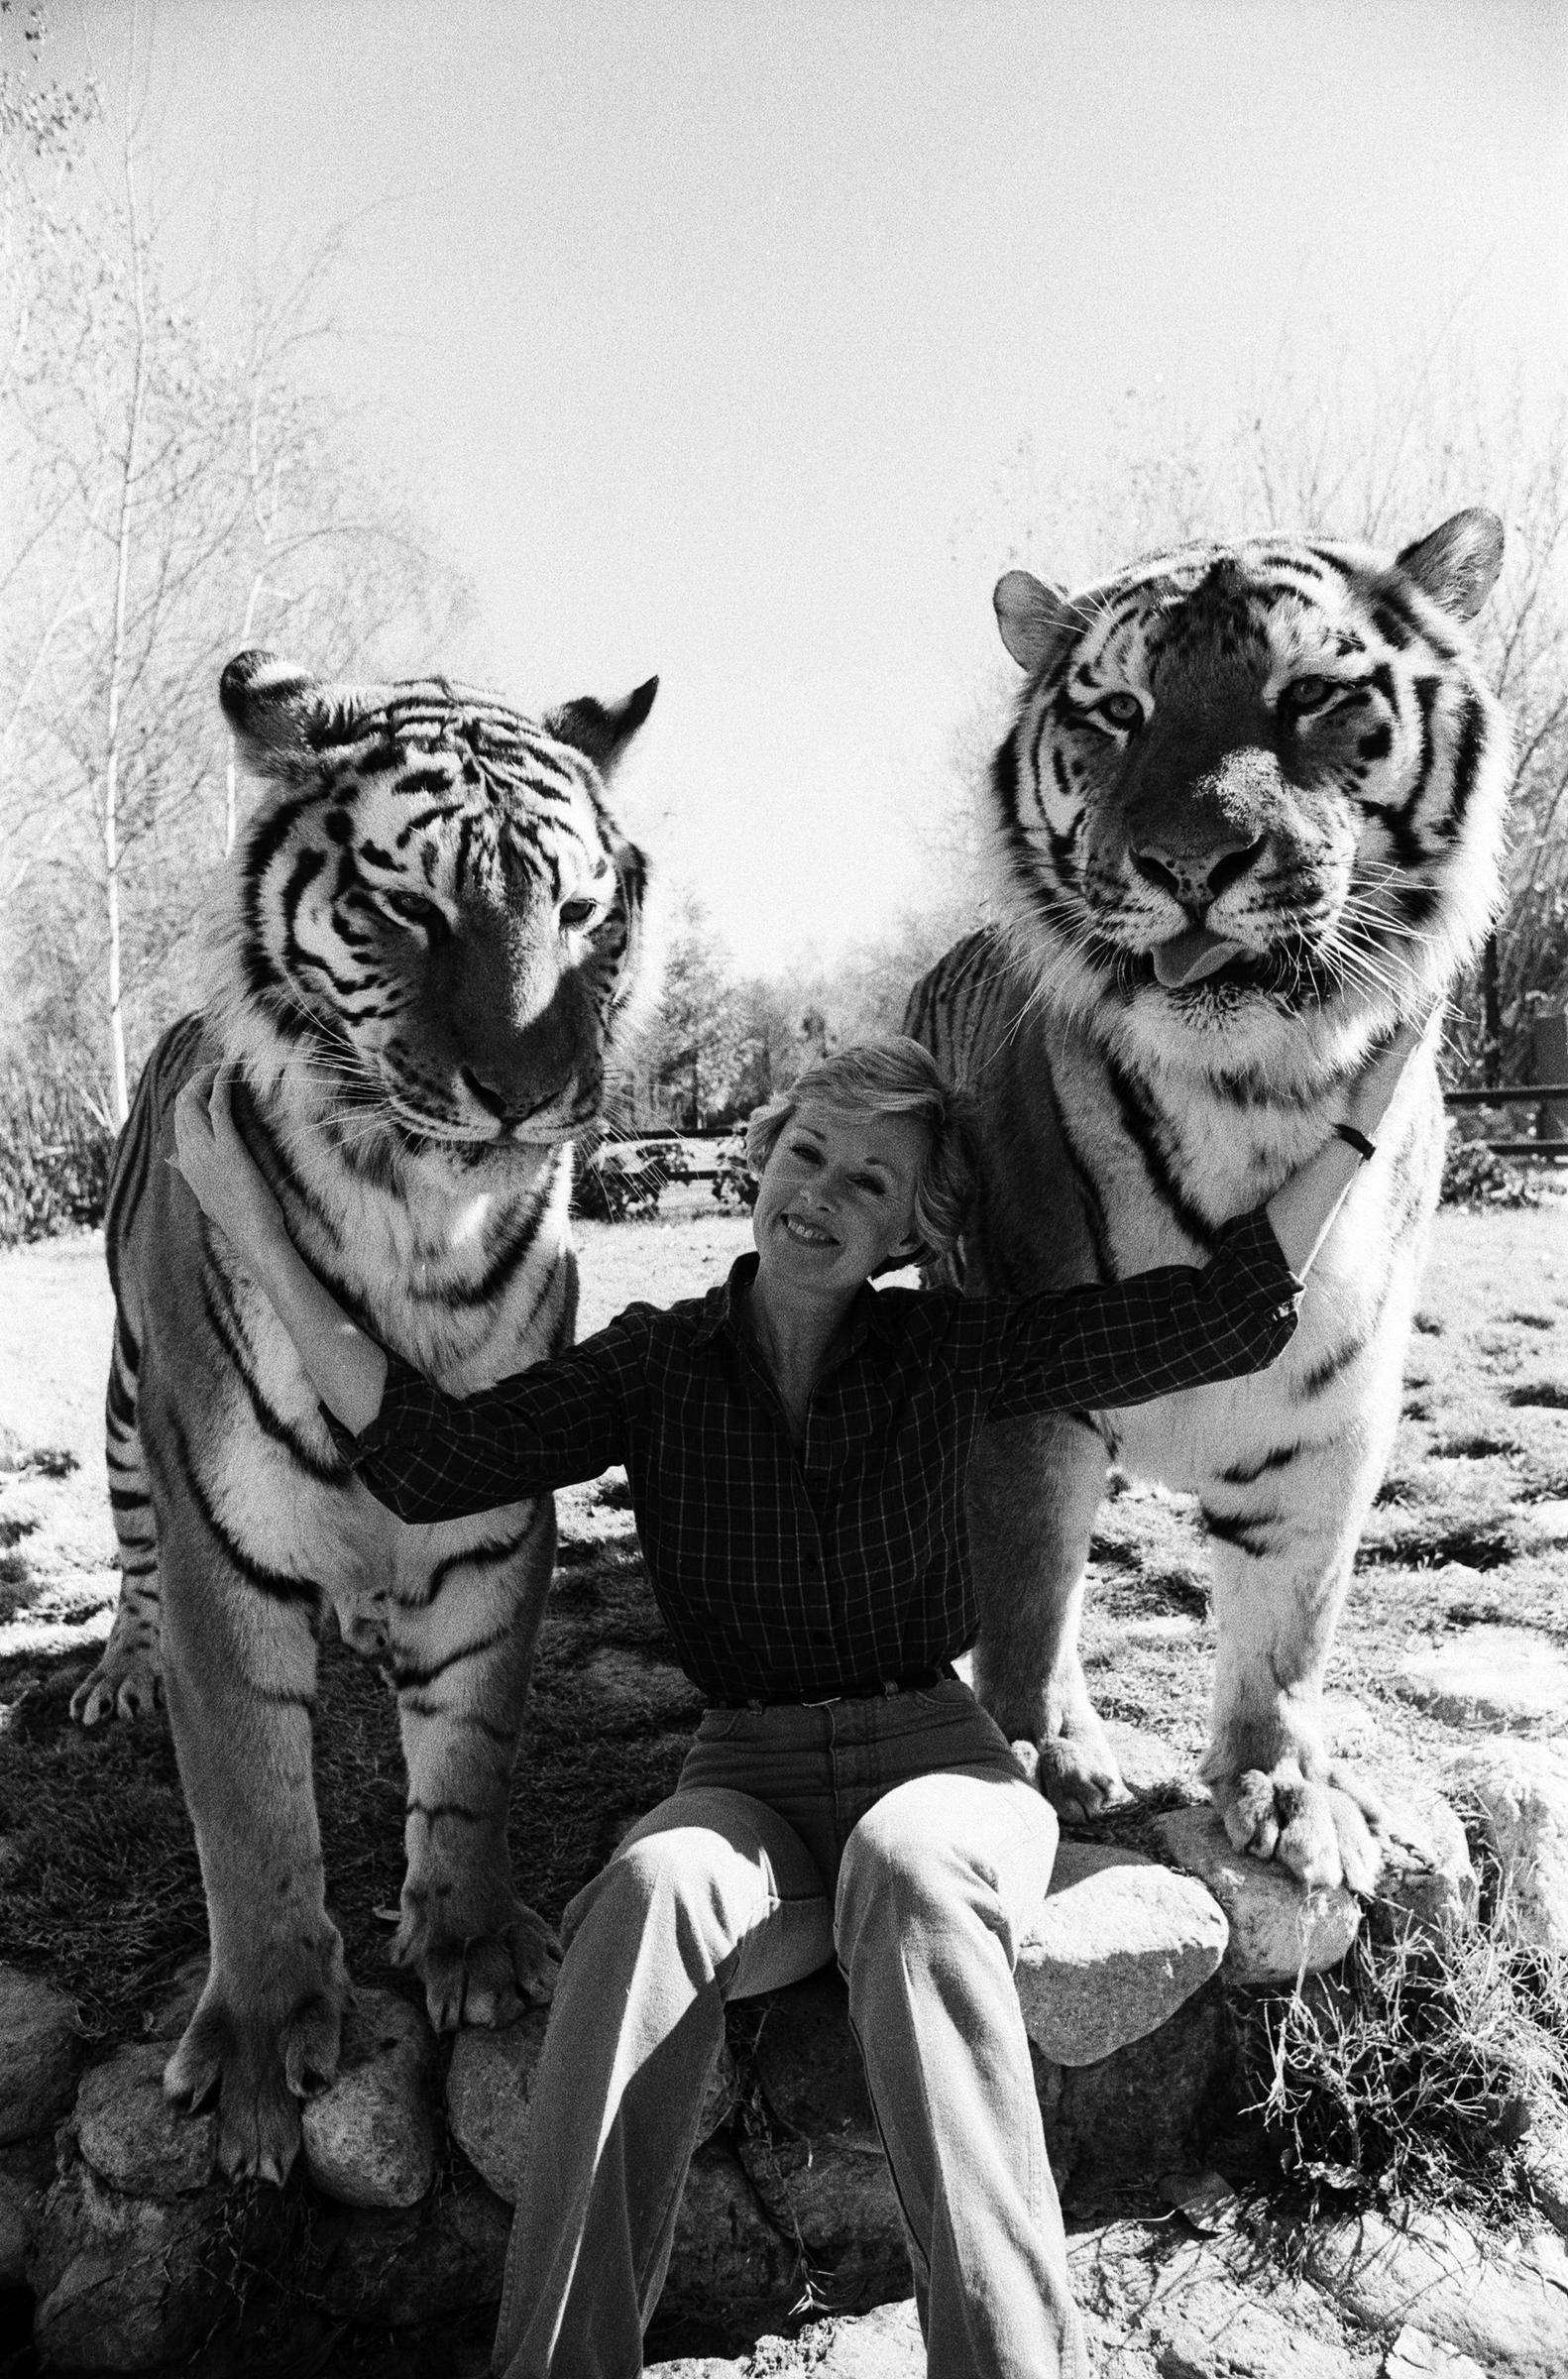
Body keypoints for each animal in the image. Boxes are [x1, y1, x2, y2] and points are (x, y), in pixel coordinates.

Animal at [71, 646, 656, 2179]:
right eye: (410, 908)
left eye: (581, 914)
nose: (533, 1097)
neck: (421, 1228)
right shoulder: (223, 1545)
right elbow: (252, 1809)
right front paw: (263, 2050)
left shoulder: (496, 1519)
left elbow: (469, 1747)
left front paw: (473, 1951)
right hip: (125, 1422)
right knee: (131, 1563)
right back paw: (117, 1673)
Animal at [913, 515, 1512, 1893]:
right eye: (1118, 711)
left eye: (1310, 695)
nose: (1189, 864)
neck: (1251, 1092)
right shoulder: (1027, 1389)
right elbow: (1030, 1594)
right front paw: (1035, 1758)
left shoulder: (1331, 1421)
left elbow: (1287, 1631)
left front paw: (1283, 1791)